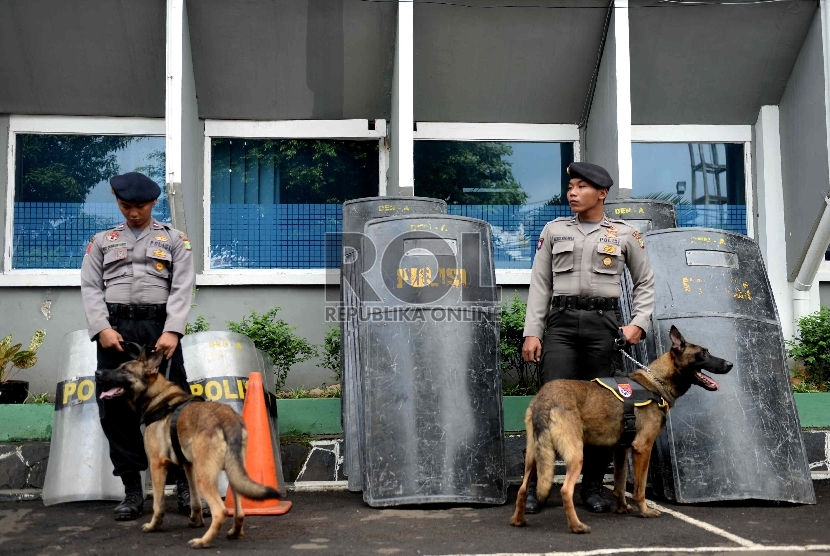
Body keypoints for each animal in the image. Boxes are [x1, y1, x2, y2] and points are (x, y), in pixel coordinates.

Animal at [94, 348, 282, 548]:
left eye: (124, 370)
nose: (97, 373)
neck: (159, 398)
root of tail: (227, 419)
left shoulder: (157, 464)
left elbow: (158, 504)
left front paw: (154, 525)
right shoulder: (188, 466)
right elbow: (194, 500)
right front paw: (196, 521)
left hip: (204, 476)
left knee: (221, 511)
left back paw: (203, 541)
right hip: (231, 473)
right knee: (238, 512)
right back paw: (234, 533)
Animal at [510, 326, 732, 536]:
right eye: (702, 354)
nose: (729, 364)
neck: (655, 383)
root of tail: (545, 398)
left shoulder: (620, 450)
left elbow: (620, 482)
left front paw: (622, 508)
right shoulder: (642, 448)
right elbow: (639, 488)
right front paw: (644, 511)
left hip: (534, 458)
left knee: (522, 489)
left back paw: (518, 521)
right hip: (575, 456)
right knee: (565, 490)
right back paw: (577, 526)